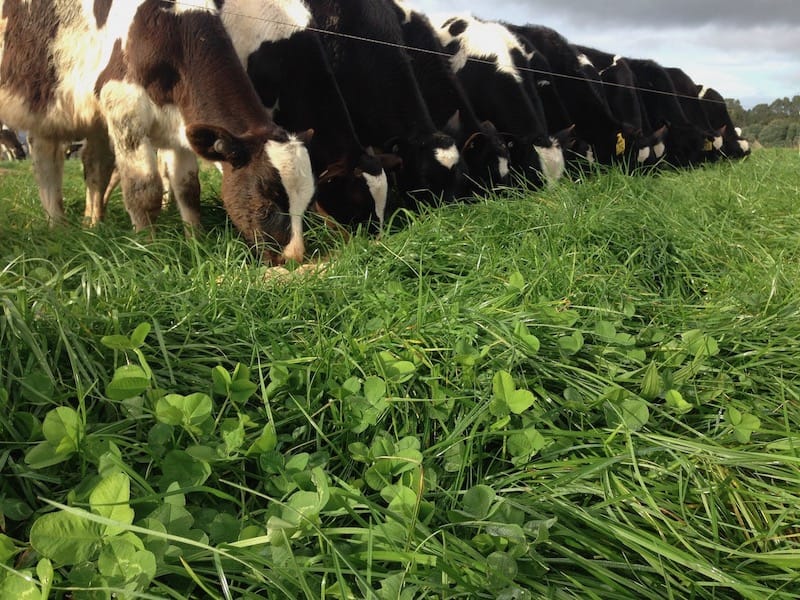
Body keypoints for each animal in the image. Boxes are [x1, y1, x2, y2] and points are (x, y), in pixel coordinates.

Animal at [1, 0, 318, 262]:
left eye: (306, 202)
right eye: (267, 203)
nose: (294, 256)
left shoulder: (180, 127)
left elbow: (188, 189)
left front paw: (196, 240)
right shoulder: (124, 109)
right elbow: (144, 190)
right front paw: (148, 246)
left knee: (76, 164)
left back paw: (83, 223)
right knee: (49, 164)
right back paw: (58, 226)